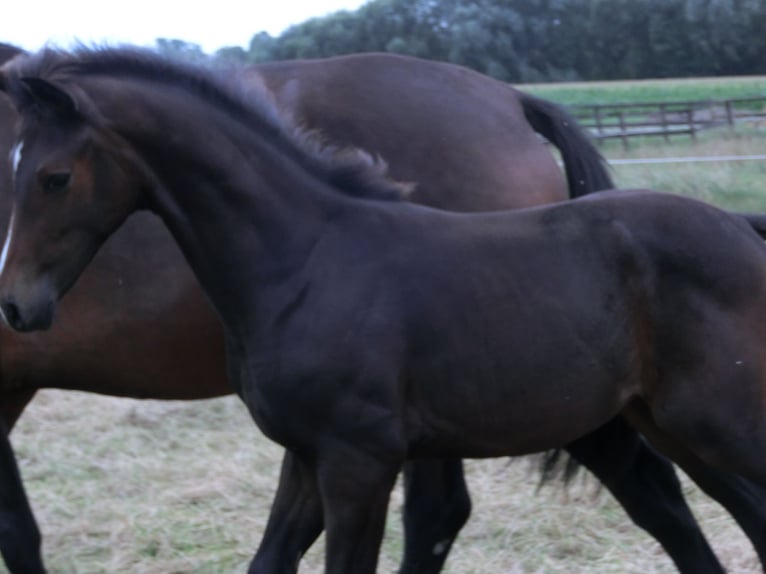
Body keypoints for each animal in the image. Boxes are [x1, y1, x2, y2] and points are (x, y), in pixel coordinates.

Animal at [0, 46, 760, 574]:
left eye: (54, 177)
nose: (15, 305)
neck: (303, 258)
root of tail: (742, 228)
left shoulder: (358, 459)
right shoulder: (307, 455)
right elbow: (269, 559)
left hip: (711, 418)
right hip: (649, 419)